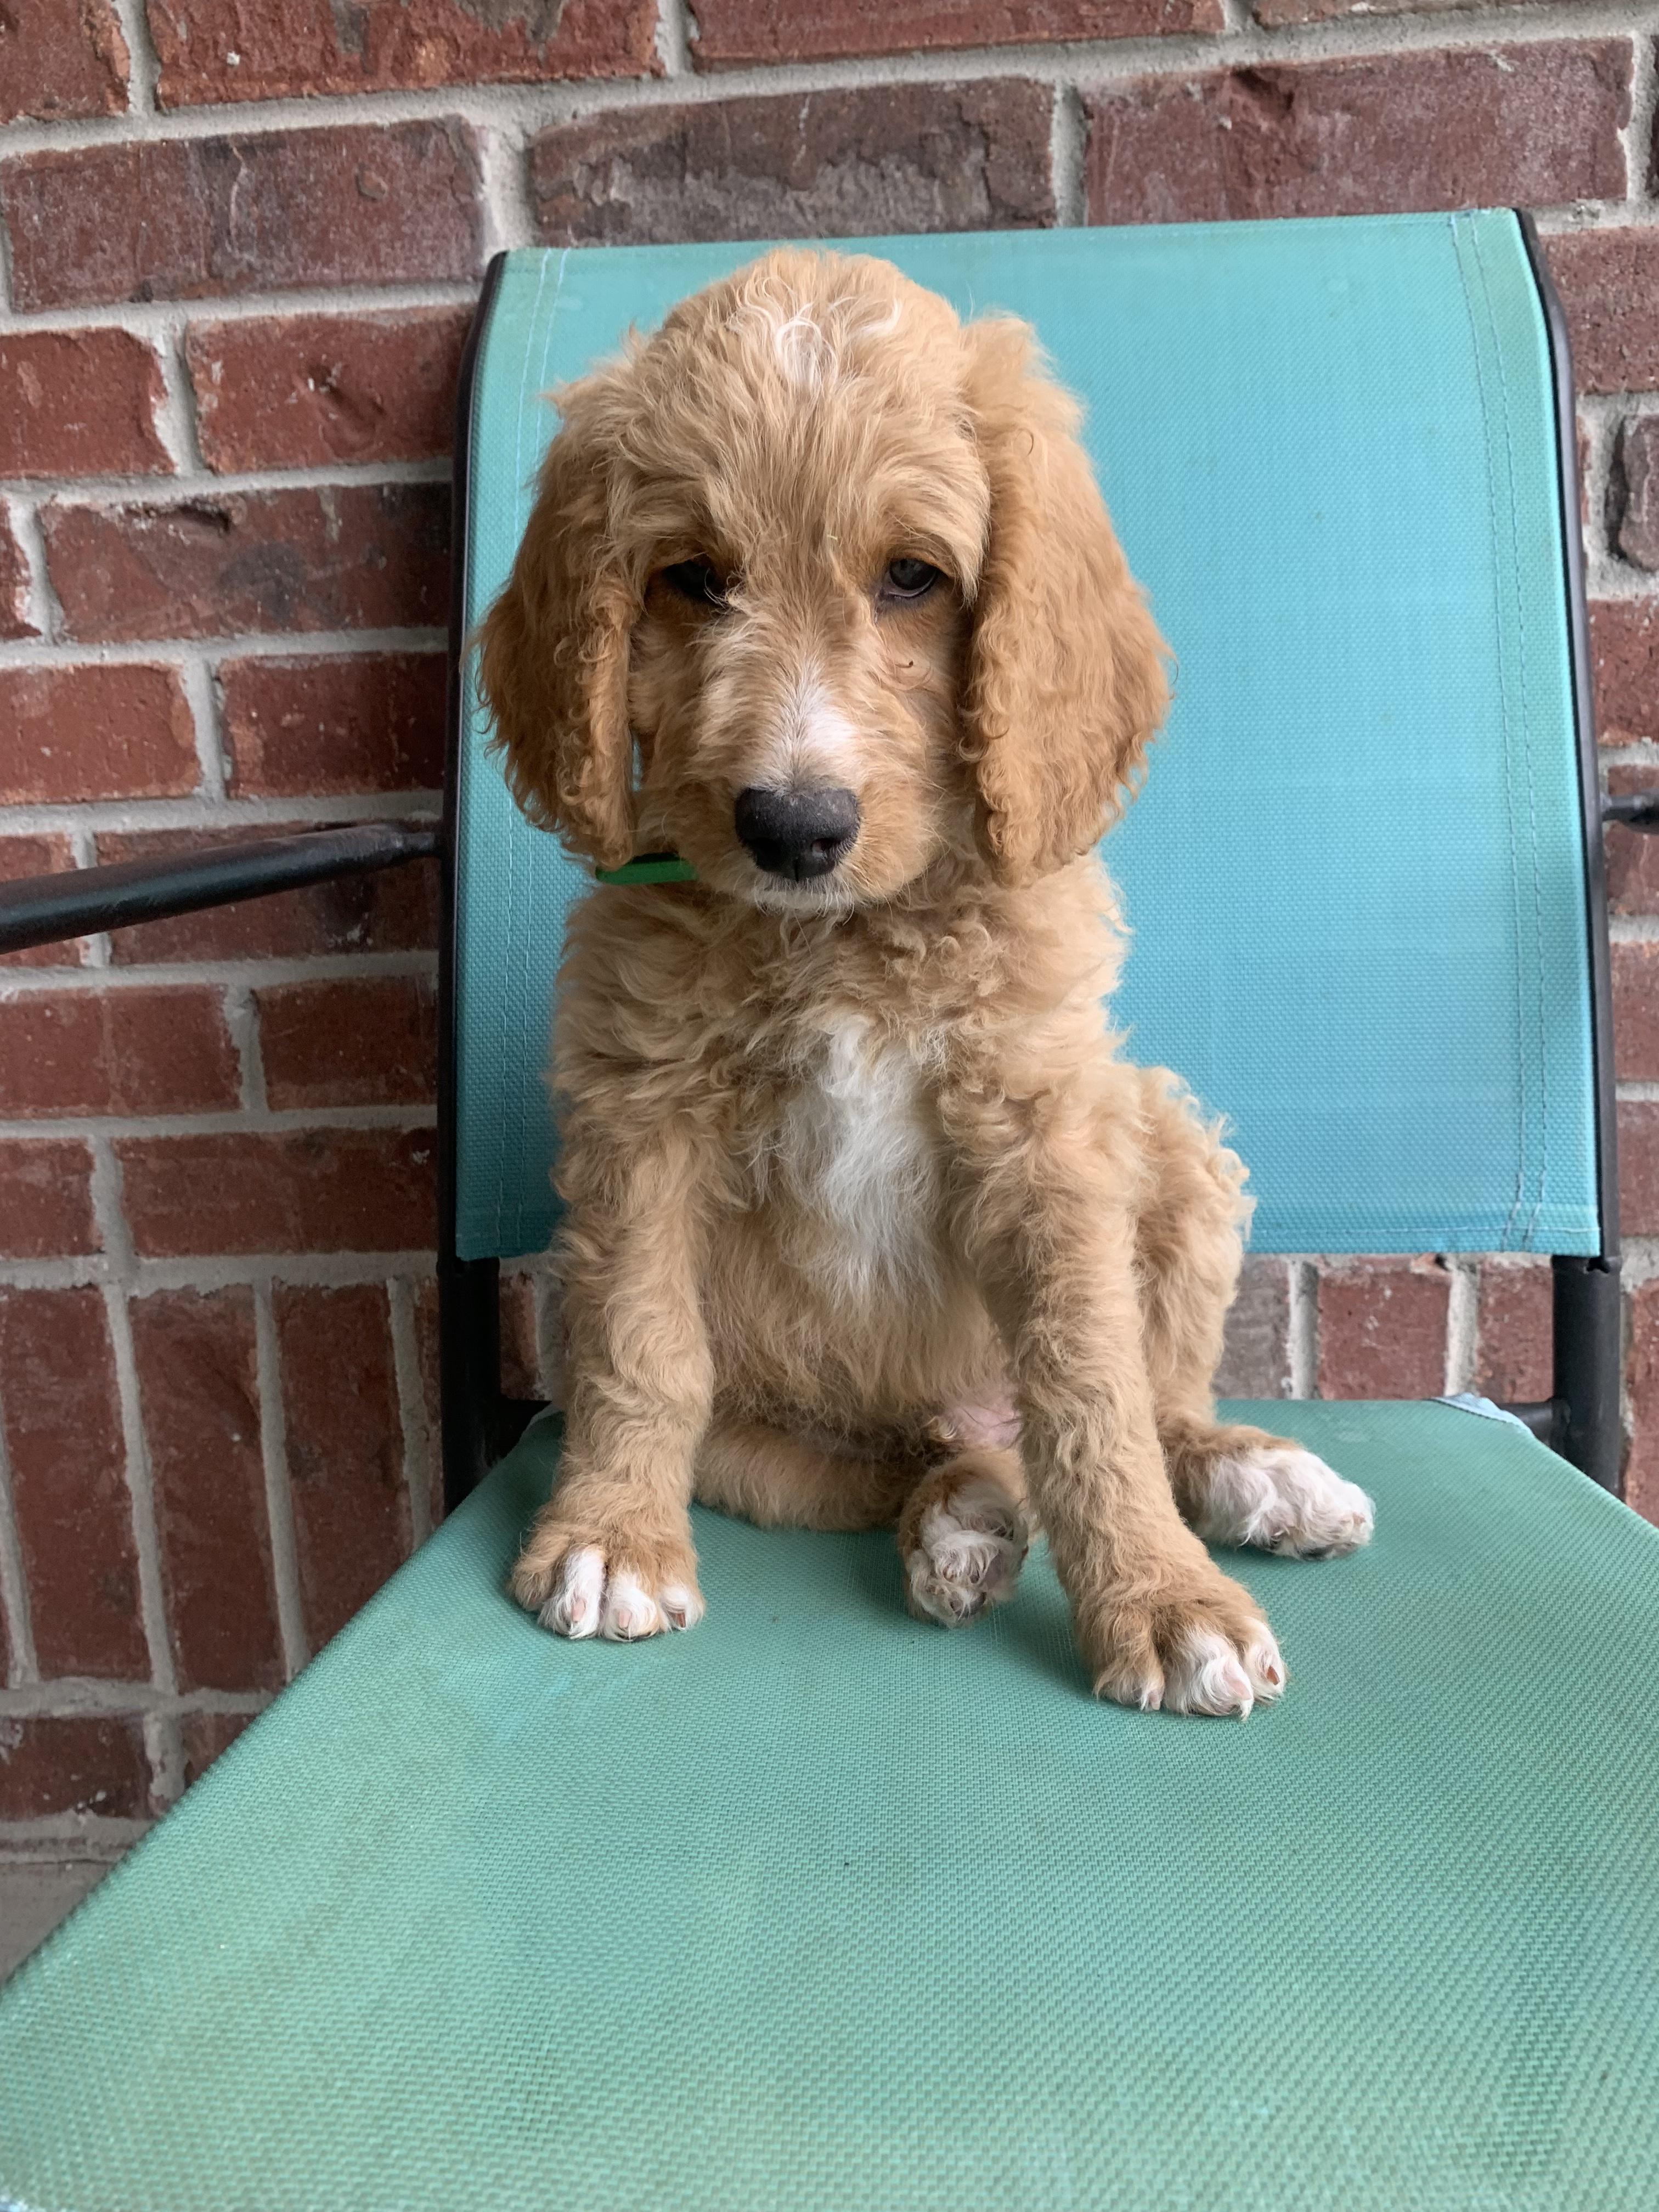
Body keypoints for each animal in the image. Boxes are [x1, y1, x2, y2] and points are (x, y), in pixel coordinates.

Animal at [478, 248, 1373, 1716]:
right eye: (691, 579)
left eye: (913, 577)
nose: (793, 826)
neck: (846, 937)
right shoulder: (640, 1121)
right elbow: (638, 1341)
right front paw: (611, 1536)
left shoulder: (1044, 1131)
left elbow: (1093, 1389)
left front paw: (1162, 1599)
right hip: (774, 1444)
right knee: (930, 1457)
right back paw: (966, 1521)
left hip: (1167, 1136)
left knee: (1146, 1401)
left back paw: (1250, 1475)